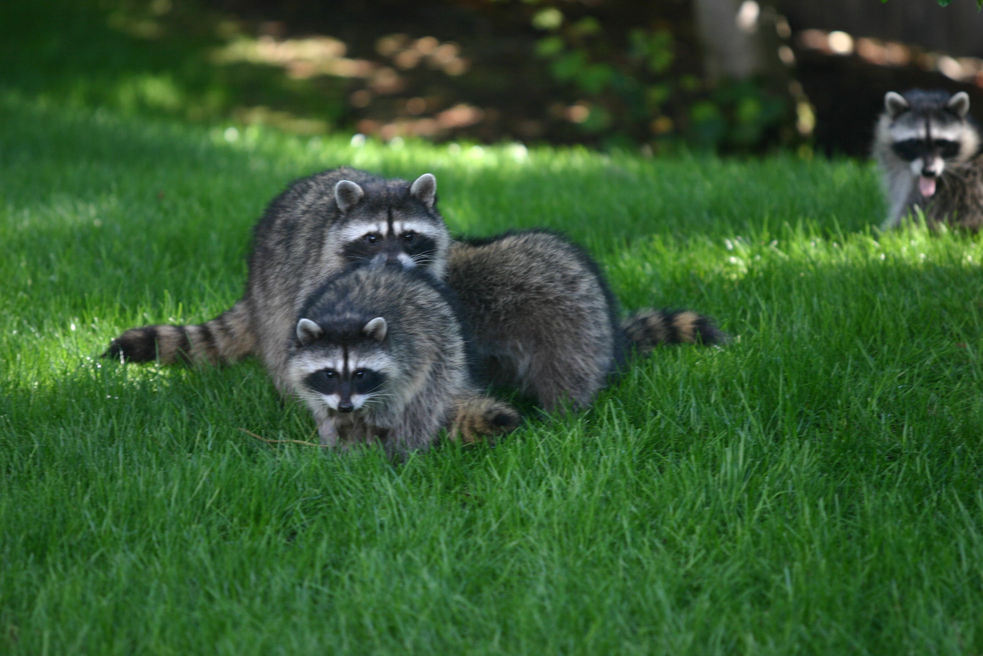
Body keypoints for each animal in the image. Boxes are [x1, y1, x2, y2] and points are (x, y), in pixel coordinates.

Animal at [286, 262, 524, 456]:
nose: (346, 406)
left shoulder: (410, 357)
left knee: (423, 406)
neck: (346, 317)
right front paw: (339, 445)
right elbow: (327, 414)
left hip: (447, 349)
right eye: (329, 374)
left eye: (360, 373)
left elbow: (393, 409)